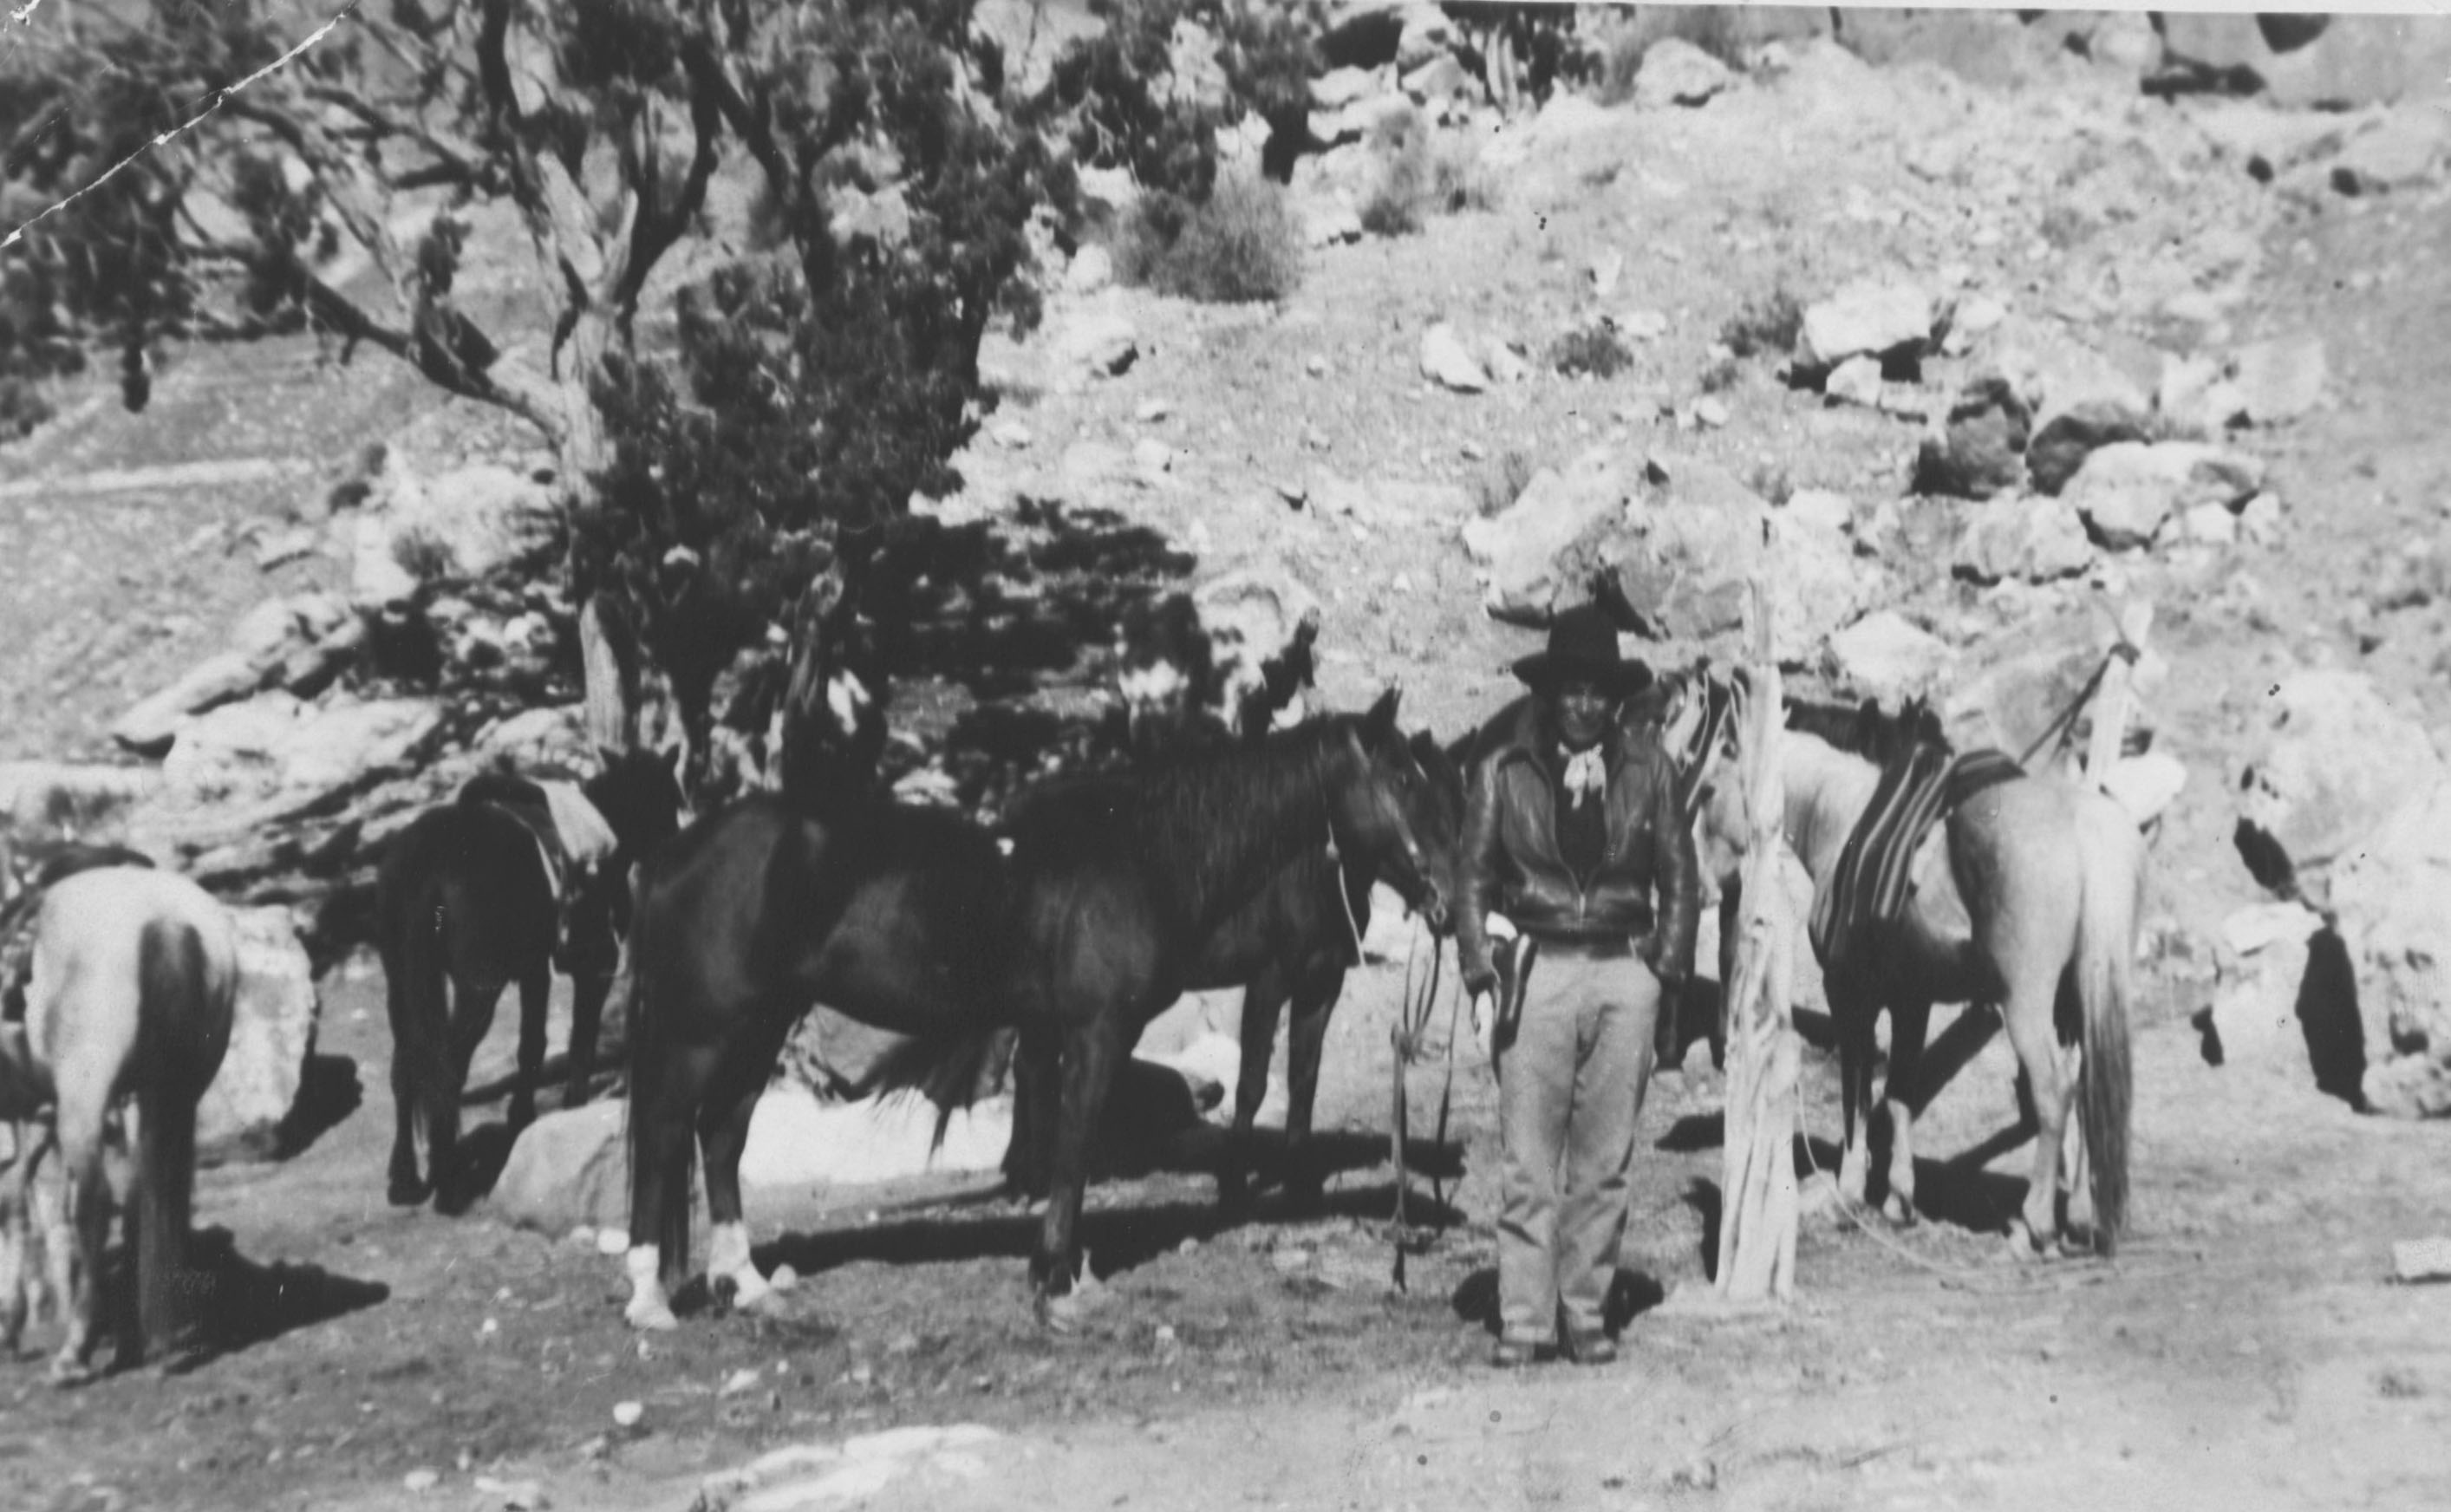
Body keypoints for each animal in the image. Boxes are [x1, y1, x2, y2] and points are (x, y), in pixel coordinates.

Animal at [0, 867, 238, 1381]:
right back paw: (145, 1340)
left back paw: (76, 1351)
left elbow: (15, 1205)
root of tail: (165, 916)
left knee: (95, 1204)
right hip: (168, 1093)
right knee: (144, 1197)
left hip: (86, 1099)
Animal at [374, 744, 685, 1211]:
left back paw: (406, 1178)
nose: (677, 847)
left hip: (401, 983)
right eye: (670, 797)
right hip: (477, 990)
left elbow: (532, 1045)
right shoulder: (592, 968)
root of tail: (428, 861)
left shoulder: (534, 969)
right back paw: (448, 1177)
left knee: (406, 1065)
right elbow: (574, 1042)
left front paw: (524, 1118)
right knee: (448, 1066)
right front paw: (569, 1109)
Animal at [619, 689, 1450, 1328]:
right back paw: (649, 1298)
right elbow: (1074, 1148)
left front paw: (1062, 1267)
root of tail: (672, 855)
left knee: (721, 1135)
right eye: (1401, 778)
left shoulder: (1058, 1033)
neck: (1138, 854)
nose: (1444, 893)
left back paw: (747, 1284)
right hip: (704, 1031)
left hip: (760, 1024)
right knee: (665, 1132)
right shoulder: (1097, 1031)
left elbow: (1056, 1145)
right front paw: (1057, 1281)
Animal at [1674, 671, 2143, 1256]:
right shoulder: (1912, 1001)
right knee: (2085, 1092)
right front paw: (1900, 1199)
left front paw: (1850, 1192)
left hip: (2027, 1005)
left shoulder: (1850, 996)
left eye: (1708, 789)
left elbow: (1856, 1092)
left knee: (2054, 1092)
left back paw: (2036, 1224)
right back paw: (2080, 1217)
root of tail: (2082, 827)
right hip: (2074, 1004)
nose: (1703, 885)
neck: (1844, 818)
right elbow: (1899, 1092)